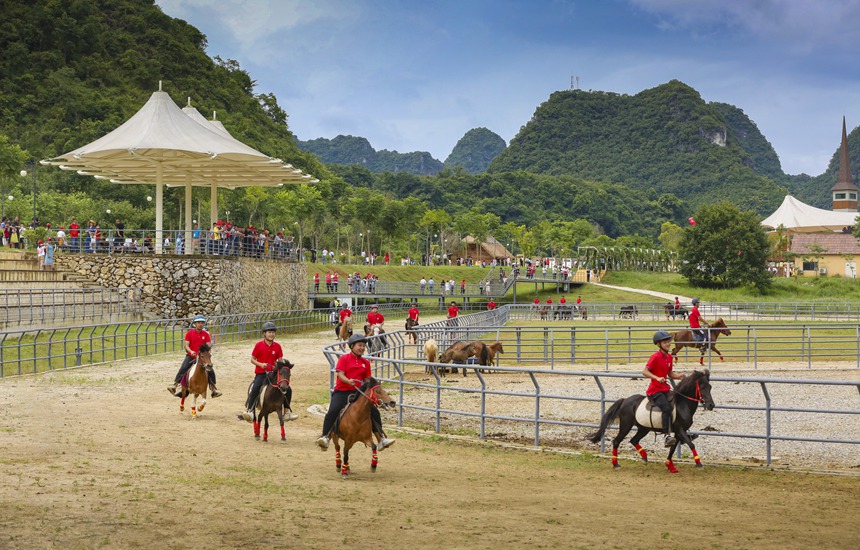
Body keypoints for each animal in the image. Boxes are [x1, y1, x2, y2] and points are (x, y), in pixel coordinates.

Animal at [588, 370, 716, 474]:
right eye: (702, 386)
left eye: (710, 387)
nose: (711, 405)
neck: (682, 404)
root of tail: (625, 400)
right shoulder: (680, 430)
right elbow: (690, 444)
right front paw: (698, 463)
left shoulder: (679, 432)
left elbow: (673, 448)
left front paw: (670, 466)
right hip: (626, 426)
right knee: (616, 441)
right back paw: (616, 464)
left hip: (643, 429)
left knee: (633, 440)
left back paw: (644, 457)